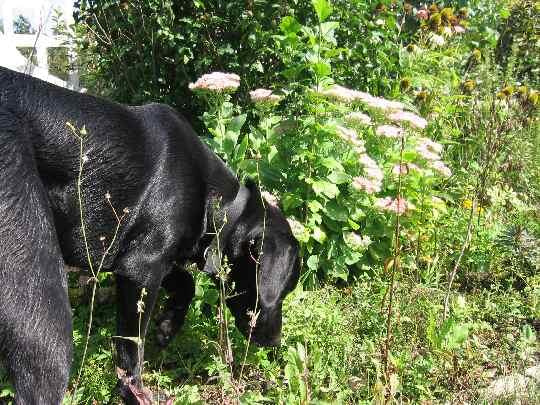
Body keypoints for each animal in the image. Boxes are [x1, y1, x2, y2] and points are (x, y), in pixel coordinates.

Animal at [0, 67, 300, 404]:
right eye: (285, 290)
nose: (275, 342)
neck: (218, 205)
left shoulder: (144, 260)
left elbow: (185, 282)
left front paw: (168, 325)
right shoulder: (140, 268)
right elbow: (131, 348)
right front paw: (134, 391)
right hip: (40, 297)